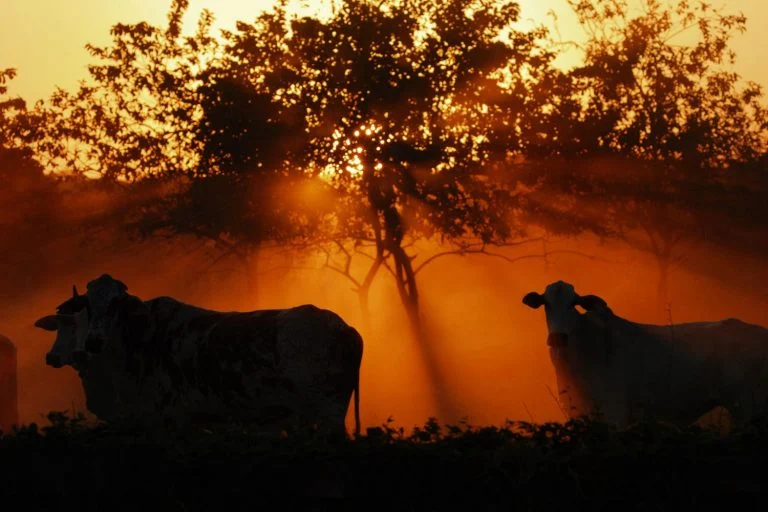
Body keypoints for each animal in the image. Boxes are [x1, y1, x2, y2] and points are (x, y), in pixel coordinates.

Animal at [33, 274, 364, 438]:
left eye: (115, 303)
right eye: (88, 305)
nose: (91, 343)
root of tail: (346, 328)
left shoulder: (170, 419)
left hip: (329, 411)